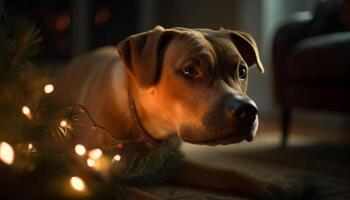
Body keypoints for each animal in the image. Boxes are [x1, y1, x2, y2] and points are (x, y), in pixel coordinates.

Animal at [53, 25, 292, 199]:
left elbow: (225, 172)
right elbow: (135, 193)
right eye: (190, 70)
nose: (248, 111)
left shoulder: (172, 162)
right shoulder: (84, 173)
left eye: (242, 71)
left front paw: (265, 185)